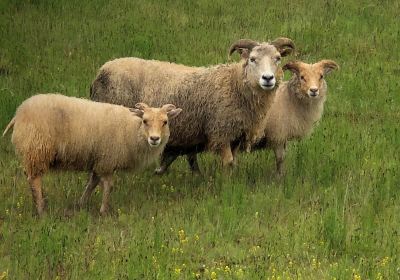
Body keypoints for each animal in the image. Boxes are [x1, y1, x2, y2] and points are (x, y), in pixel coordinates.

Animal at [1, 93, 182, 214]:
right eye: (145, 121)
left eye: (165, 122)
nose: (154, 139)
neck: (132, 129)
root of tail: (18, 113)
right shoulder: (107, 161)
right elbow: (108, 185)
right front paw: (103, 210)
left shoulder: (99, 160)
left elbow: (92, 183)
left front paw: (81, 203)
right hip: (37, 149)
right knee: (34, 180)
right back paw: (41, 209)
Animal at [90, 37, 296, 173]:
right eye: (252, 59)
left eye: (278, 58)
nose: (268, 78)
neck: (234, 84)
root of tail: (100, 72)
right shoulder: (220, 131)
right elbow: (228, 162)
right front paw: (227, 187)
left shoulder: (236, 134)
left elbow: (233, 162)